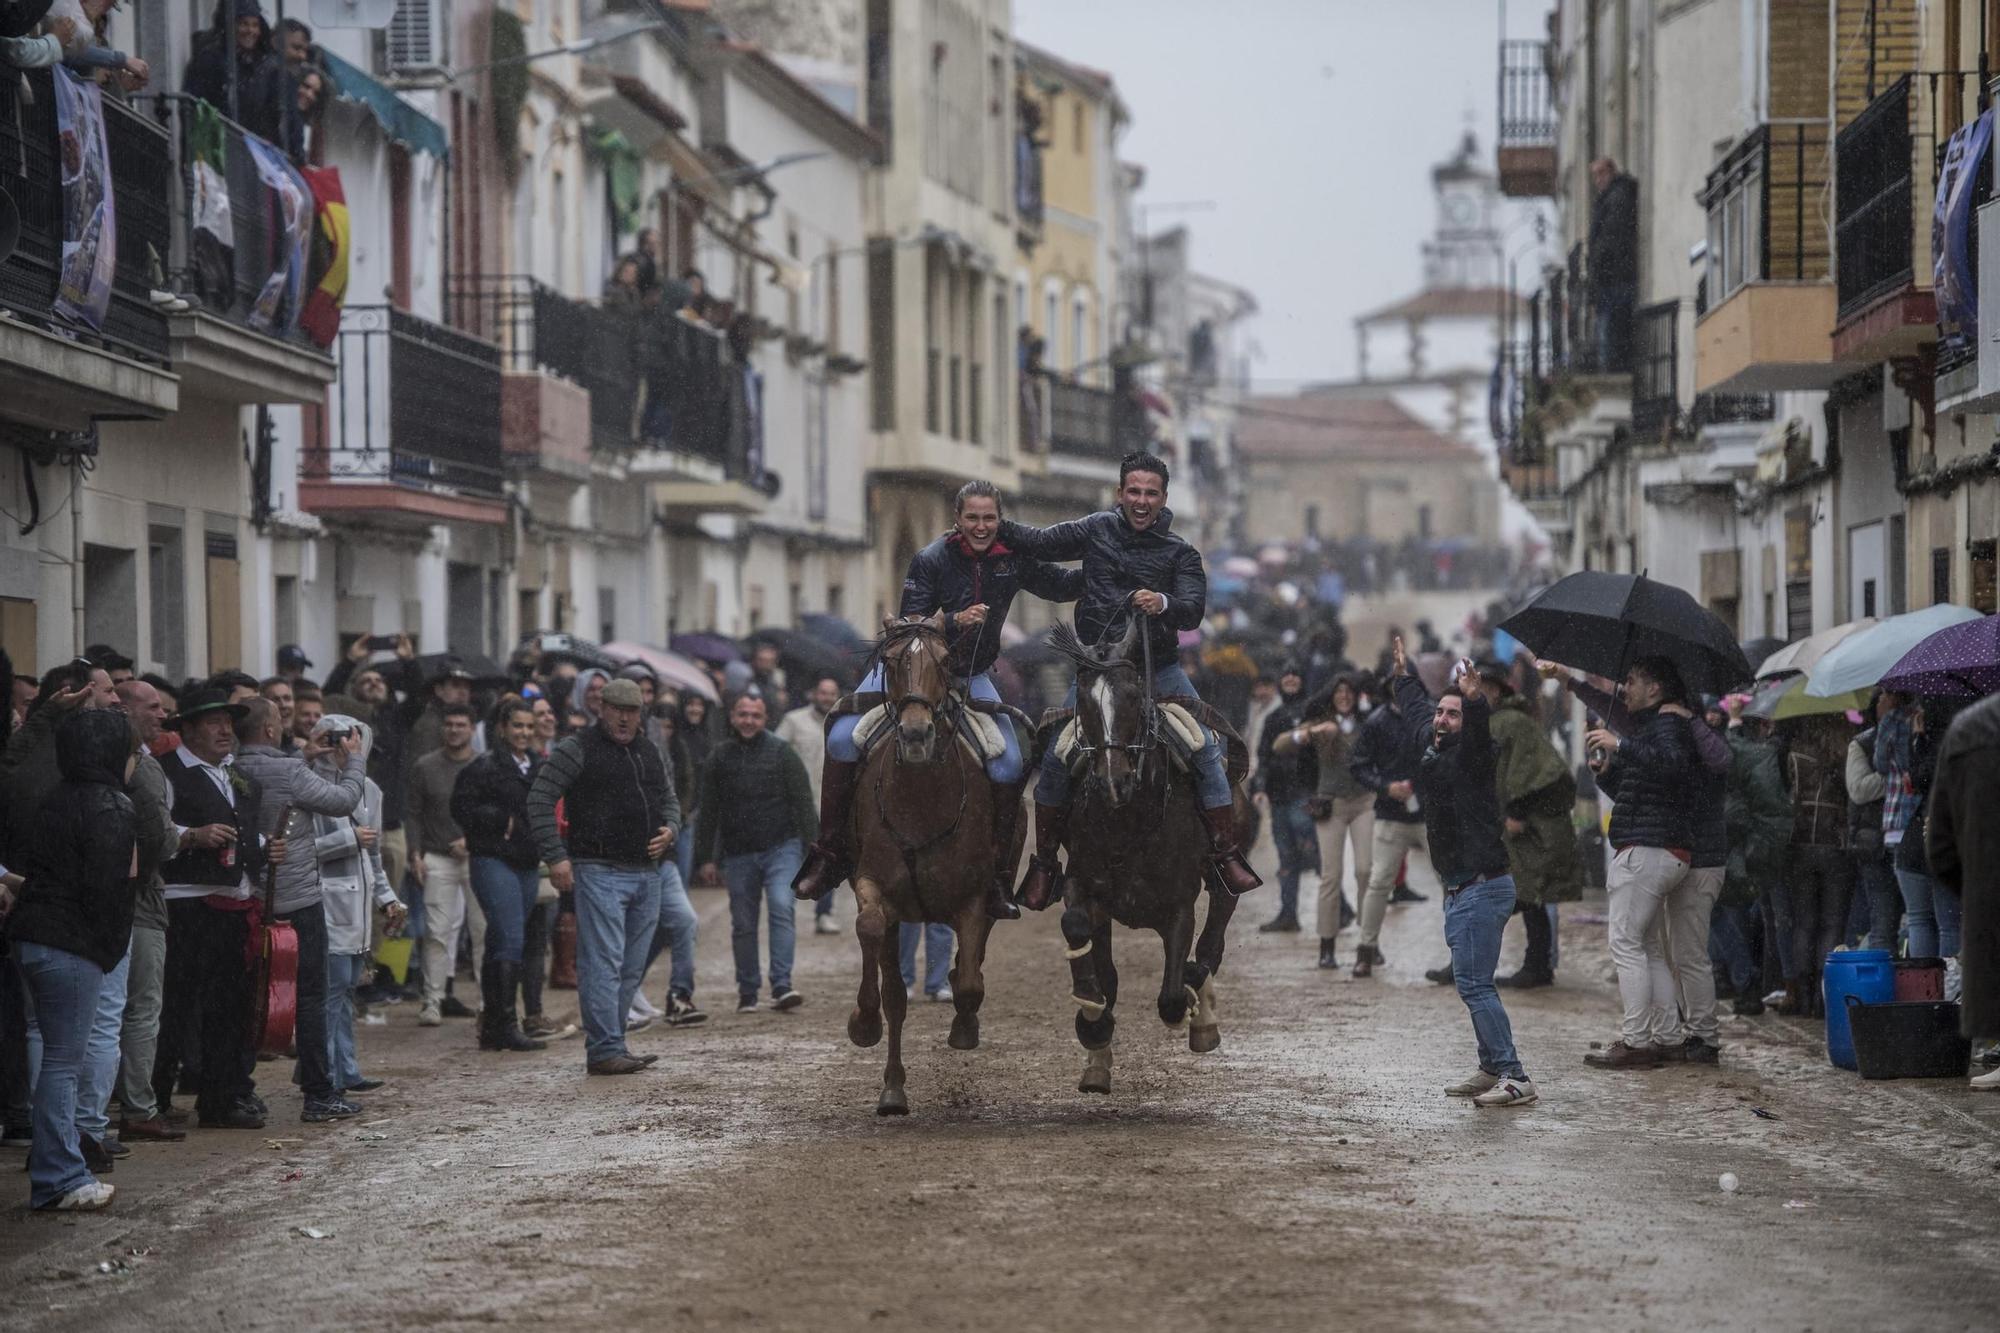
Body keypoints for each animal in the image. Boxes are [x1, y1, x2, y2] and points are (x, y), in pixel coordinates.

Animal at [840, 612, 1024, 1112]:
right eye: (889, 661)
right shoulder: (874, 886)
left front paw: (964, 1026)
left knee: (972, 964)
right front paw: (863, 1023)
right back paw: (892, 1087)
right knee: (898, 995)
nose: (916, 734)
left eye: (945, 660)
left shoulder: (973, 898)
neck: (921, 799)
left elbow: (970, 983)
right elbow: (873, 942)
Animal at [1040, 616, 1240, 1088]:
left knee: (1217, 923)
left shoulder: (1179, 904)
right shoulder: (1084, 883)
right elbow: (1081, 933)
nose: (1113, 780)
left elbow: (1171, 995)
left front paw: (1191, 1000)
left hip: (1222, 862)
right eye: (1083, 700)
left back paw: (1203, 1013)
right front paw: (1093, 1021)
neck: (1127, 816)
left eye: (1133, 695)